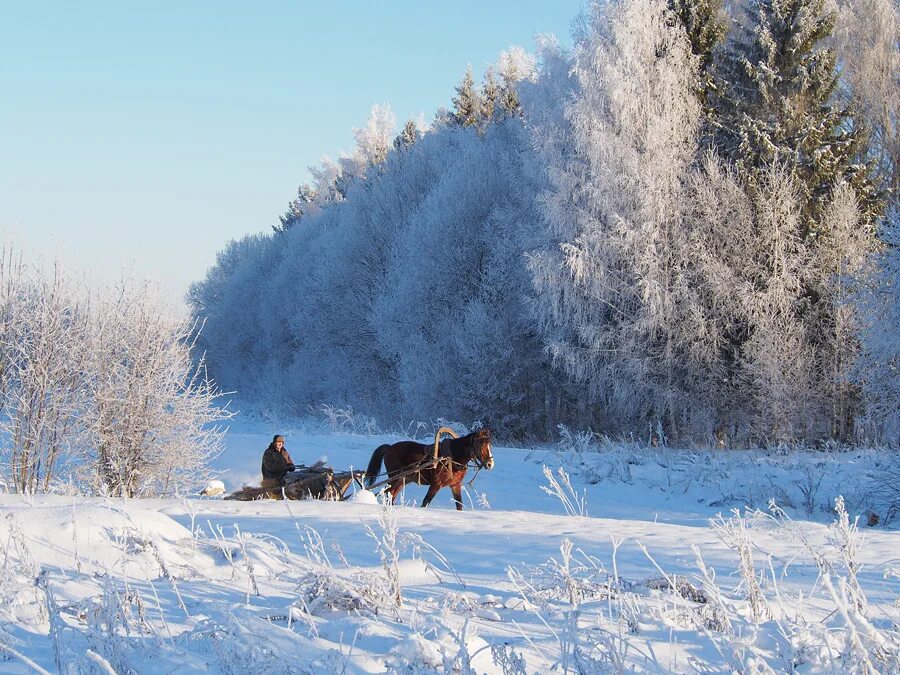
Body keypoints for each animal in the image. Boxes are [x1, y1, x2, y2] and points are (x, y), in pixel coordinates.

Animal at [362, 430, 496, 510]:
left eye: (489, 444)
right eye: (481, 444)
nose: (490, 464)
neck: (452, 457)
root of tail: (389, 448)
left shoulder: (455, 485)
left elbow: (459, 504)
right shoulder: (435, 484)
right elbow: (425, 502)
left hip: (403, 479)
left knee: (391, 494)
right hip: (394, 477)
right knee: (388, 493)